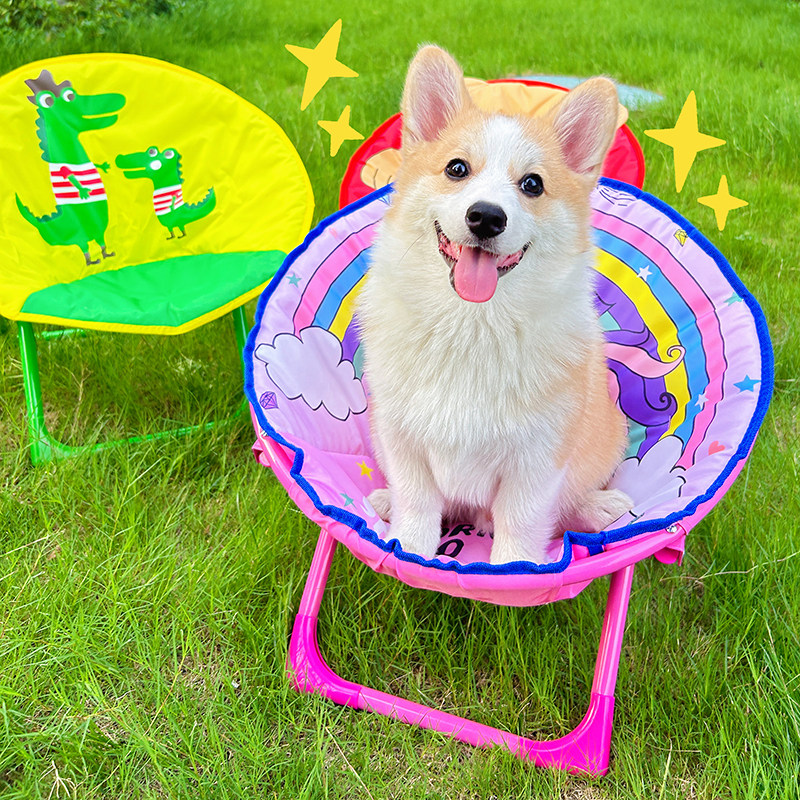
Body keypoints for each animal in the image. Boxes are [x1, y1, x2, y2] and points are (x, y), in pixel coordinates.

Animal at [356, 46, 632, 565]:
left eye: (533, 184)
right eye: (456, 168)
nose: (486, 217)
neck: (472, 323)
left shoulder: (537, 461)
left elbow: (520, 528)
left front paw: (513, 572)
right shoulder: (403, 440)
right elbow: (417, 503)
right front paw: (408, 551)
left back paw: (599, 508)